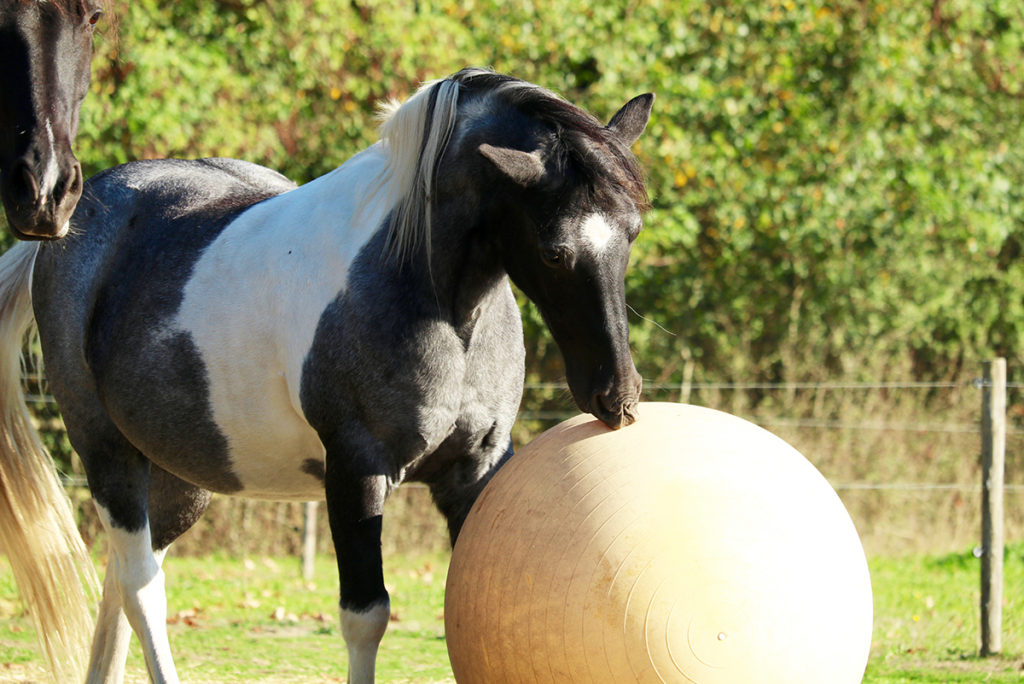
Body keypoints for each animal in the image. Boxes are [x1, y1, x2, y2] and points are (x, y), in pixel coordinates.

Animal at [0, 68, 655, 679]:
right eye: (553, 252)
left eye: (632, 232)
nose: (618, 396)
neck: (432, 295)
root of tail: (72, 223)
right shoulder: (355, 474)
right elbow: (366, 618)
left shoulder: (475, 472)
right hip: (107, 454)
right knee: (141, 589)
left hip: (183, 477)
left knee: (121, 576)